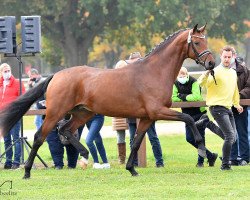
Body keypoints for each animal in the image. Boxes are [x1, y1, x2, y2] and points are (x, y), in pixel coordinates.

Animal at [0, 23, 215, 178]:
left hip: (83, 113)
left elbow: (135, 142)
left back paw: (84, 154)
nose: (211, 63)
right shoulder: (158, 111)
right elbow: (188, 119)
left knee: (65, 130)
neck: (154, 72)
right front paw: (203, 150)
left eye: (205, 41)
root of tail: (56, 75)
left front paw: (132, 169)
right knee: (40, 137)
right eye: (197, 43)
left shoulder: (147, 117)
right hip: (55, 113)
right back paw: (27, 171)